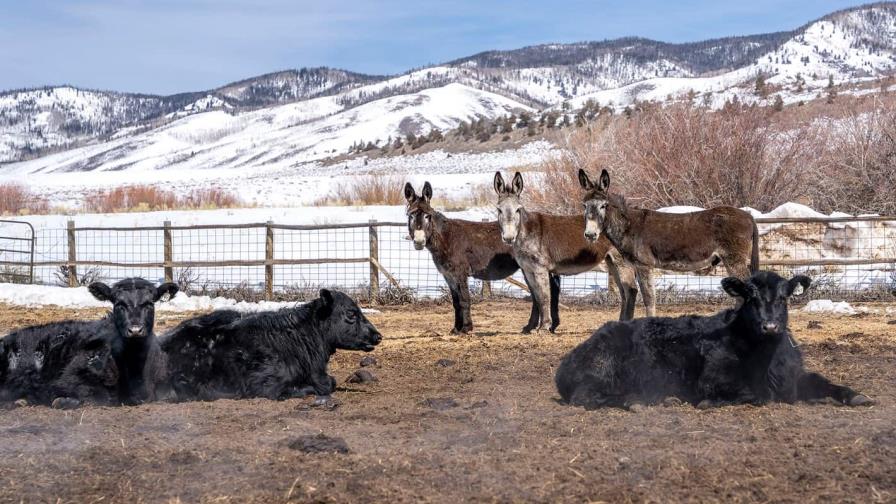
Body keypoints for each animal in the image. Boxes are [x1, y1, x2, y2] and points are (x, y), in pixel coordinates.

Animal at [0, 278, 178, 408]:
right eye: (119, 304)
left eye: (149, 304)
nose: (135, 330)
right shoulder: (67, 379)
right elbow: (100, 397)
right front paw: (62, 400)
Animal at [556, 272, 872, 410]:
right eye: (749, 297)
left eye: (784, 297)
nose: (770, 325)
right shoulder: (712, 380)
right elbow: (755, 394)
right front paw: (709, 403)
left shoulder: (794, 378)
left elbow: (822, 382)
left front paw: (856, 395)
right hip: (600, 372)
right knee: (587, 398)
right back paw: (640, 400)